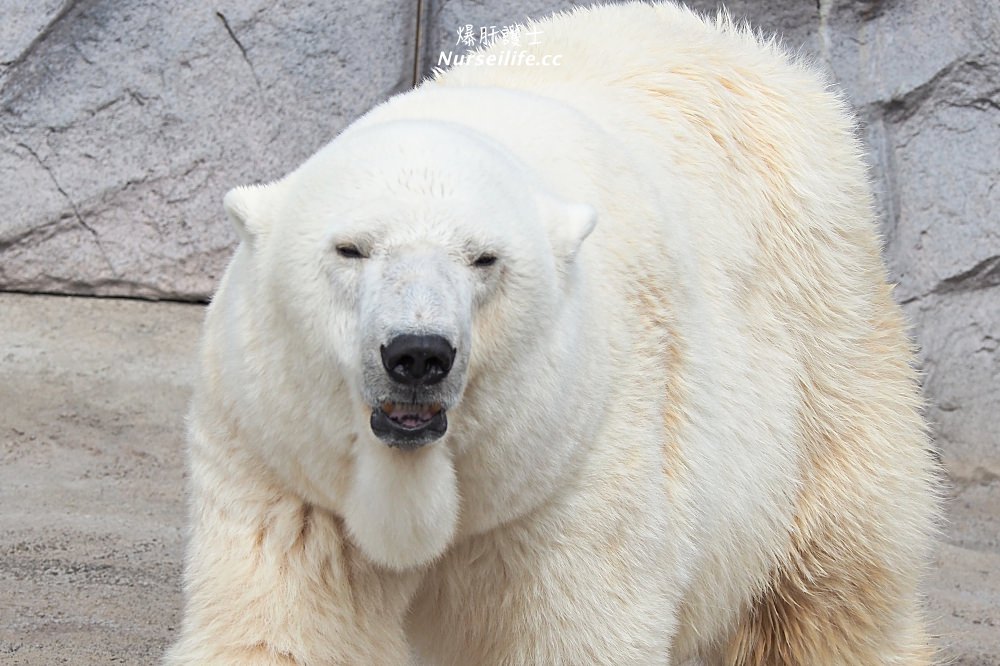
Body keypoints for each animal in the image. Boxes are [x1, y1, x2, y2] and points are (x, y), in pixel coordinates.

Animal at [164, 2, 936, 660]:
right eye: (350, 249)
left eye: (484, 258)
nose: (417, 353)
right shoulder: (281, 462)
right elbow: (280, 628)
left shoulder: (578, 453)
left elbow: (576, 626)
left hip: (821, 335)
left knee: (833, 572)